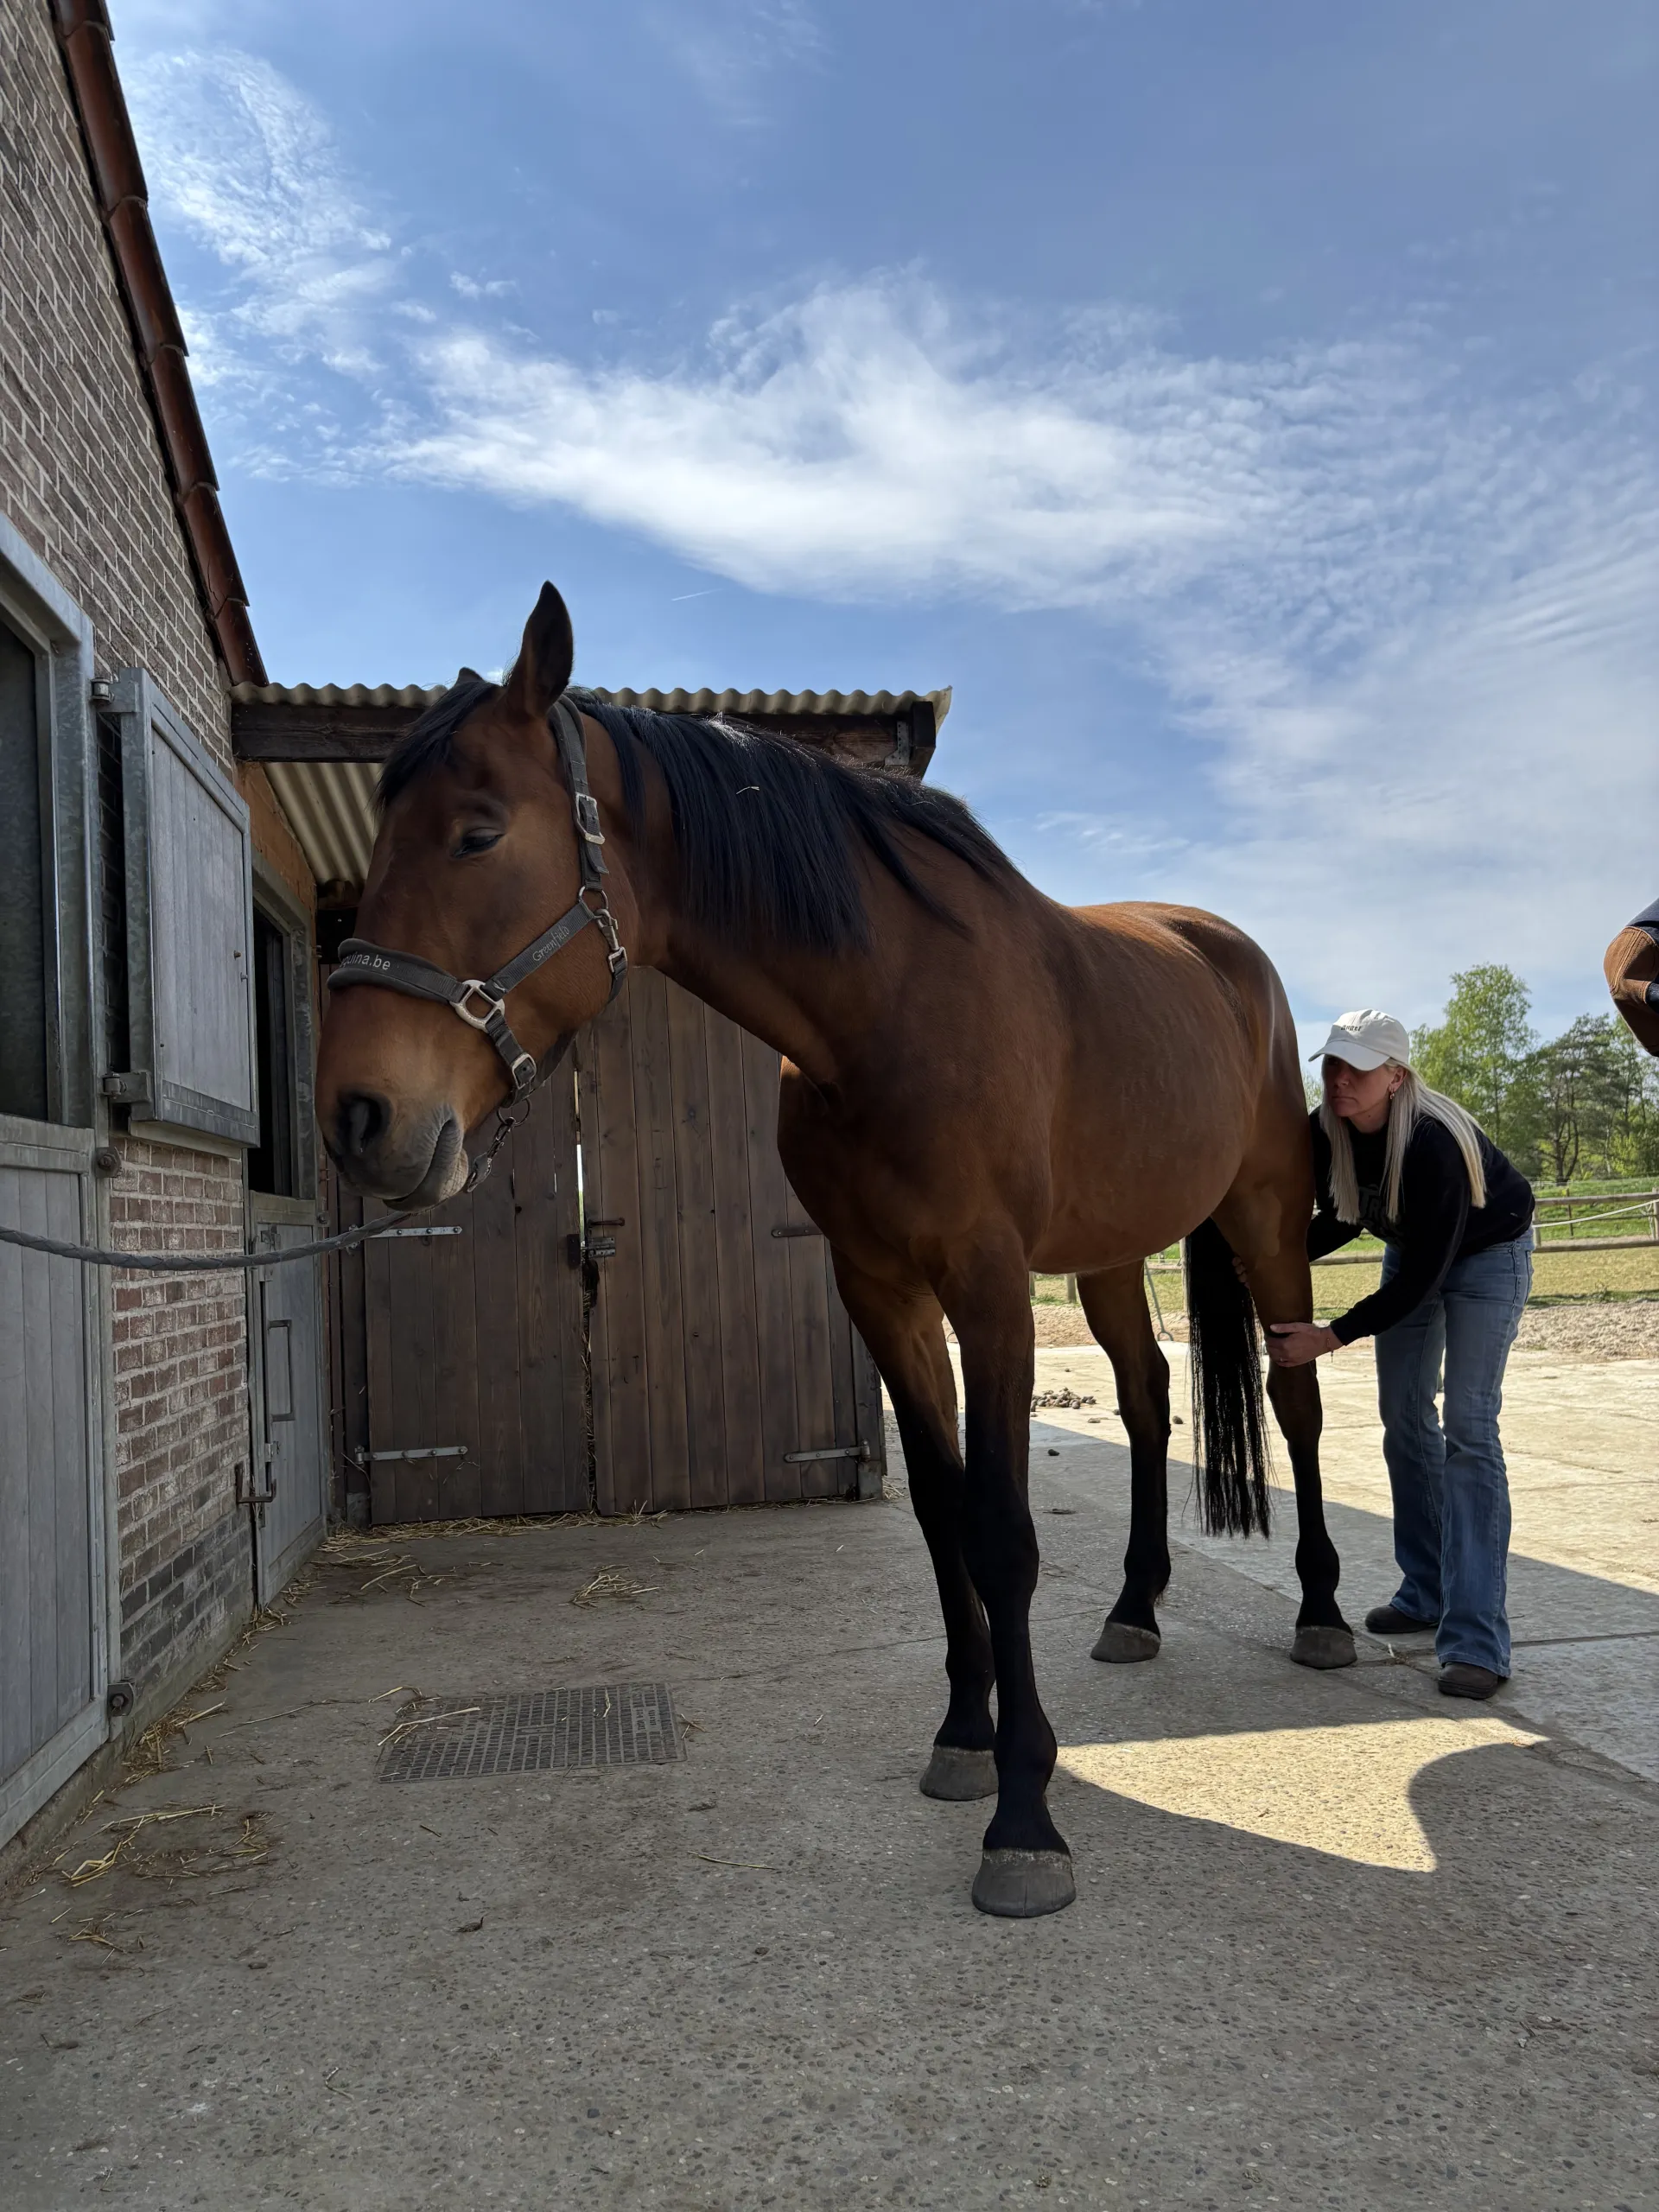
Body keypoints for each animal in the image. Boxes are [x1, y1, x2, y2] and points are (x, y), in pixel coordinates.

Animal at [316, 582, 1352, 1919]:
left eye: (478, 834)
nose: (357, 1117)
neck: (890, 1006)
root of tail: (1233, 955)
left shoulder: (987, 1290)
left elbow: (1002, 1533)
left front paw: (1027, 1820)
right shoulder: (880, 1291)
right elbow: (941, 1516)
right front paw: (968, 1739)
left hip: (1265, 1221)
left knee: (1298, 1394)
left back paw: (1324, 1609)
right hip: (1113, 1256)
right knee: (1148, 1393)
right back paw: (1135, 1608)